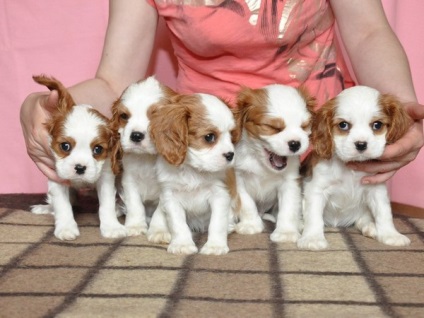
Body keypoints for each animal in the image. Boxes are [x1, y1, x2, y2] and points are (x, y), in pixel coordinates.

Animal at [31, 74, 126, 238]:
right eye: (65, 146)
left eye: (98, 149)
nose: (80, 168)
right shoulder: (56, 177)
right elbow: (62, 205)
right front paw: (66, 228)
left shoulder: (106, 176)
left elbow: (106, 204)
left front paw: (112, 227)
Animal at [110, 76, 175, 236]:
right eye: (124, 116)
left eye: (156, 117)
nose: (136, 135)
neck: (147, 158)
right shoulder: (129, 181)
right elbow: (135, 205)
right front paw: (135, 226)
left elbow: (160, 211)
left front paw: (158, 231)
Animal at [147, 90, 237, 255]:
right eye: (209, 137)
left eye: (231, 135)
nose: (230, 155)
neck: (192, 170)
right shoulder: (170, 197)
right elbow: (178, 224)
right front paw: (182, 244)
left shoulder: (220, 195)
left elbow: (217, 223)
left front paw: (215, 246)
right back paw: (159, 231)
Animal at [232, 83, 314, 242]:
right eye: (273, 127)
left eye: (304, 126)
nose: (295, 144)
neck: (261, 161)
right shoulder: (238, 179)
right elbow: (247, 203)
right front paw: (250, 224)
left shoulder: (290, 181)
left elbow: (288, 207)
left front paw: (286, 232)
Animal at [298, 85, 410, 250]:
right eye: (343, 125)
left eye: (377, 125)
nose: (361, 144)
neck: (351, 168)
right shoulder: (316, 188)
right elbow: (314, 216)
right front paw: (312, 238)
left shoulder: (376, 189)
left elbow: (384, 213)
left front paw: (391, 235)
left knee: (362, 219)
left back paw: (371, 227)